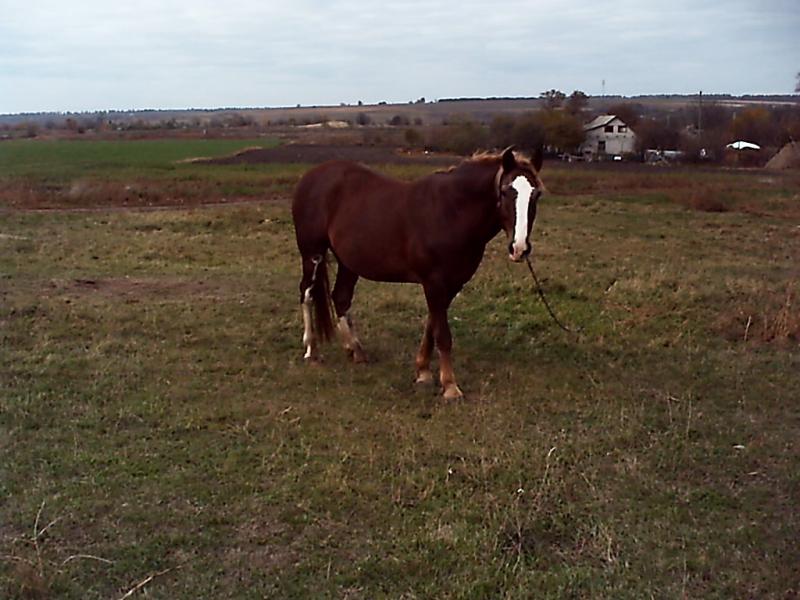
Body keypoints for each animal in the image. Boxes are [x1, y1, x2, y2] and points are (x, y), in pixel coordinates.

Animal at [290, 146, 548, 398]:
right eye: (506, 191)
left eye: (536, 194)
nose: (519, 248)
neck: (450, 212)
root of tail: (312, 176)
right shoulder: (433, 282)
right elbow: (442, 334)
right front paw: (450, 387)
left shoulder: (452, 284)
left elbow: (431, 327)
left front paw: (423, 372)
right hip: (312, 253)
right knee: (307, 293)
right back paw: (312, 350)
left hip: (349, 261)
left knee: (341, 297)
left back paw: (355, 350)